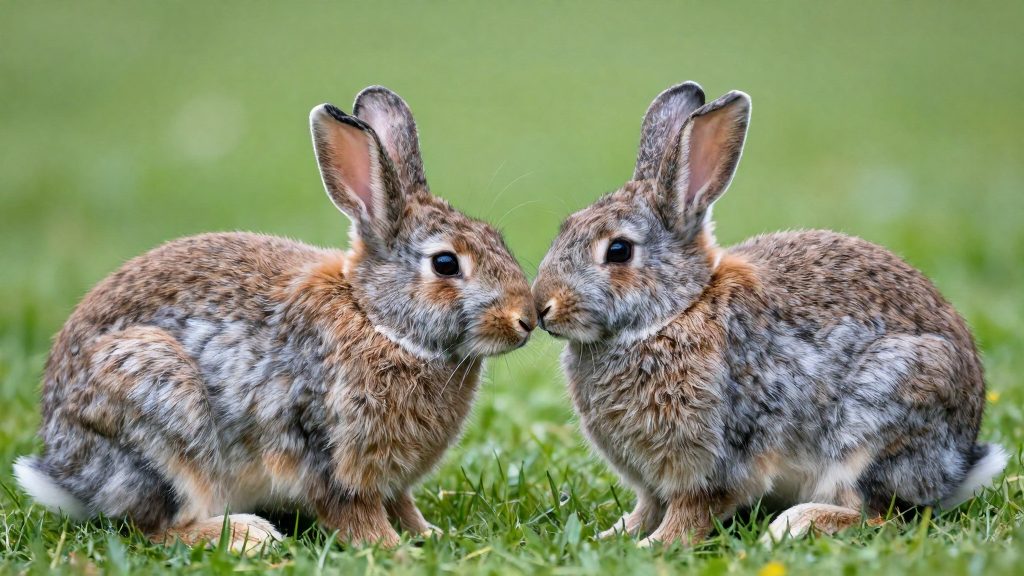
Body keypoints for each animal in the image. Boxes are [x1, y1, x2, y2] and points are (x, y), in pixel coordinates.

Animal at [14, 86, 537, 551]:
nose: (526, 319)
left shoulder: (389, 477)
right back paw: (246, 537)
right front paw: (391, 549)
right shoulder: (325, 451)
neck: (376, 319)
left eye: (496, 238)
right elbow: (353, 512)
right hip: (158, 408)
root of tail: (65, 470)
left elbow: (402, 504)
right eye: (446, 264)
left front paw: (429, 535)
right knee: (153, 527)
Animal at [531, 81, 1007, 547]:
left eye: (618, 251)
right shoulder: (652, 481)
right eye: (566, 227)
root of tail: (959, 465)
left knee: (879, 517)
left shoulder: (718, 457)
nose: (542, 307)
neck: (677, 310)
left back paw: (796, 524)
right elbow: (645, 508)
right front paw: (614, 536)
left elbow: (689, 514)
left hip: (882, 417)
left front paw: (653, 546)